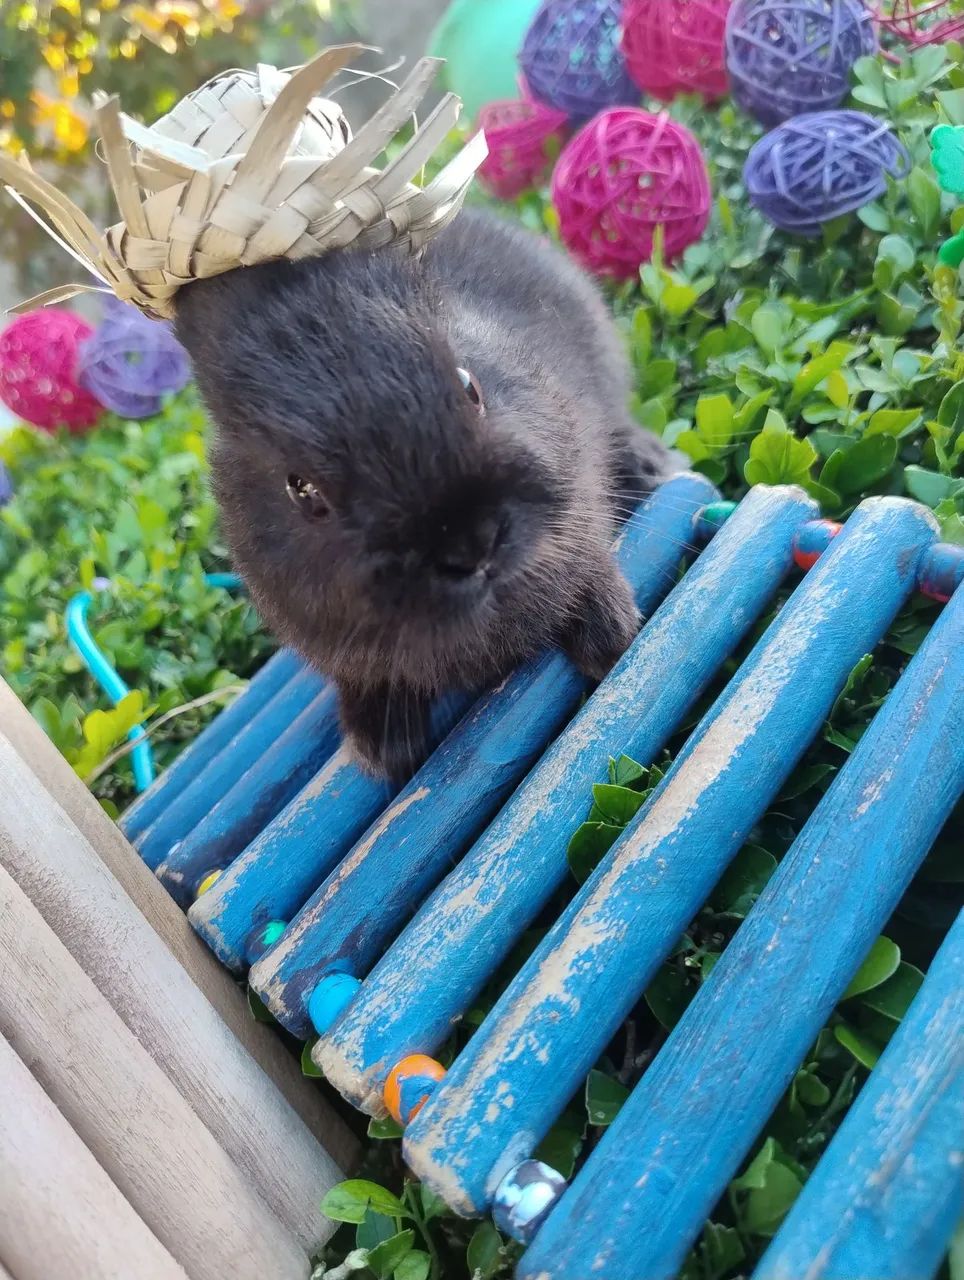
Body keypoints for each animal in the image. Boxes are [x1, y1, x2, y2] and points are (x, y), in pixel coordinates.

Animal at [174, 208, 673, 779]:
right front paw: (383, 750)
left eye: (469, 385)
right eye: (301, 490)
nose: (473, 546)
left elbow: (586, 561)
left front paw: (610, 635)